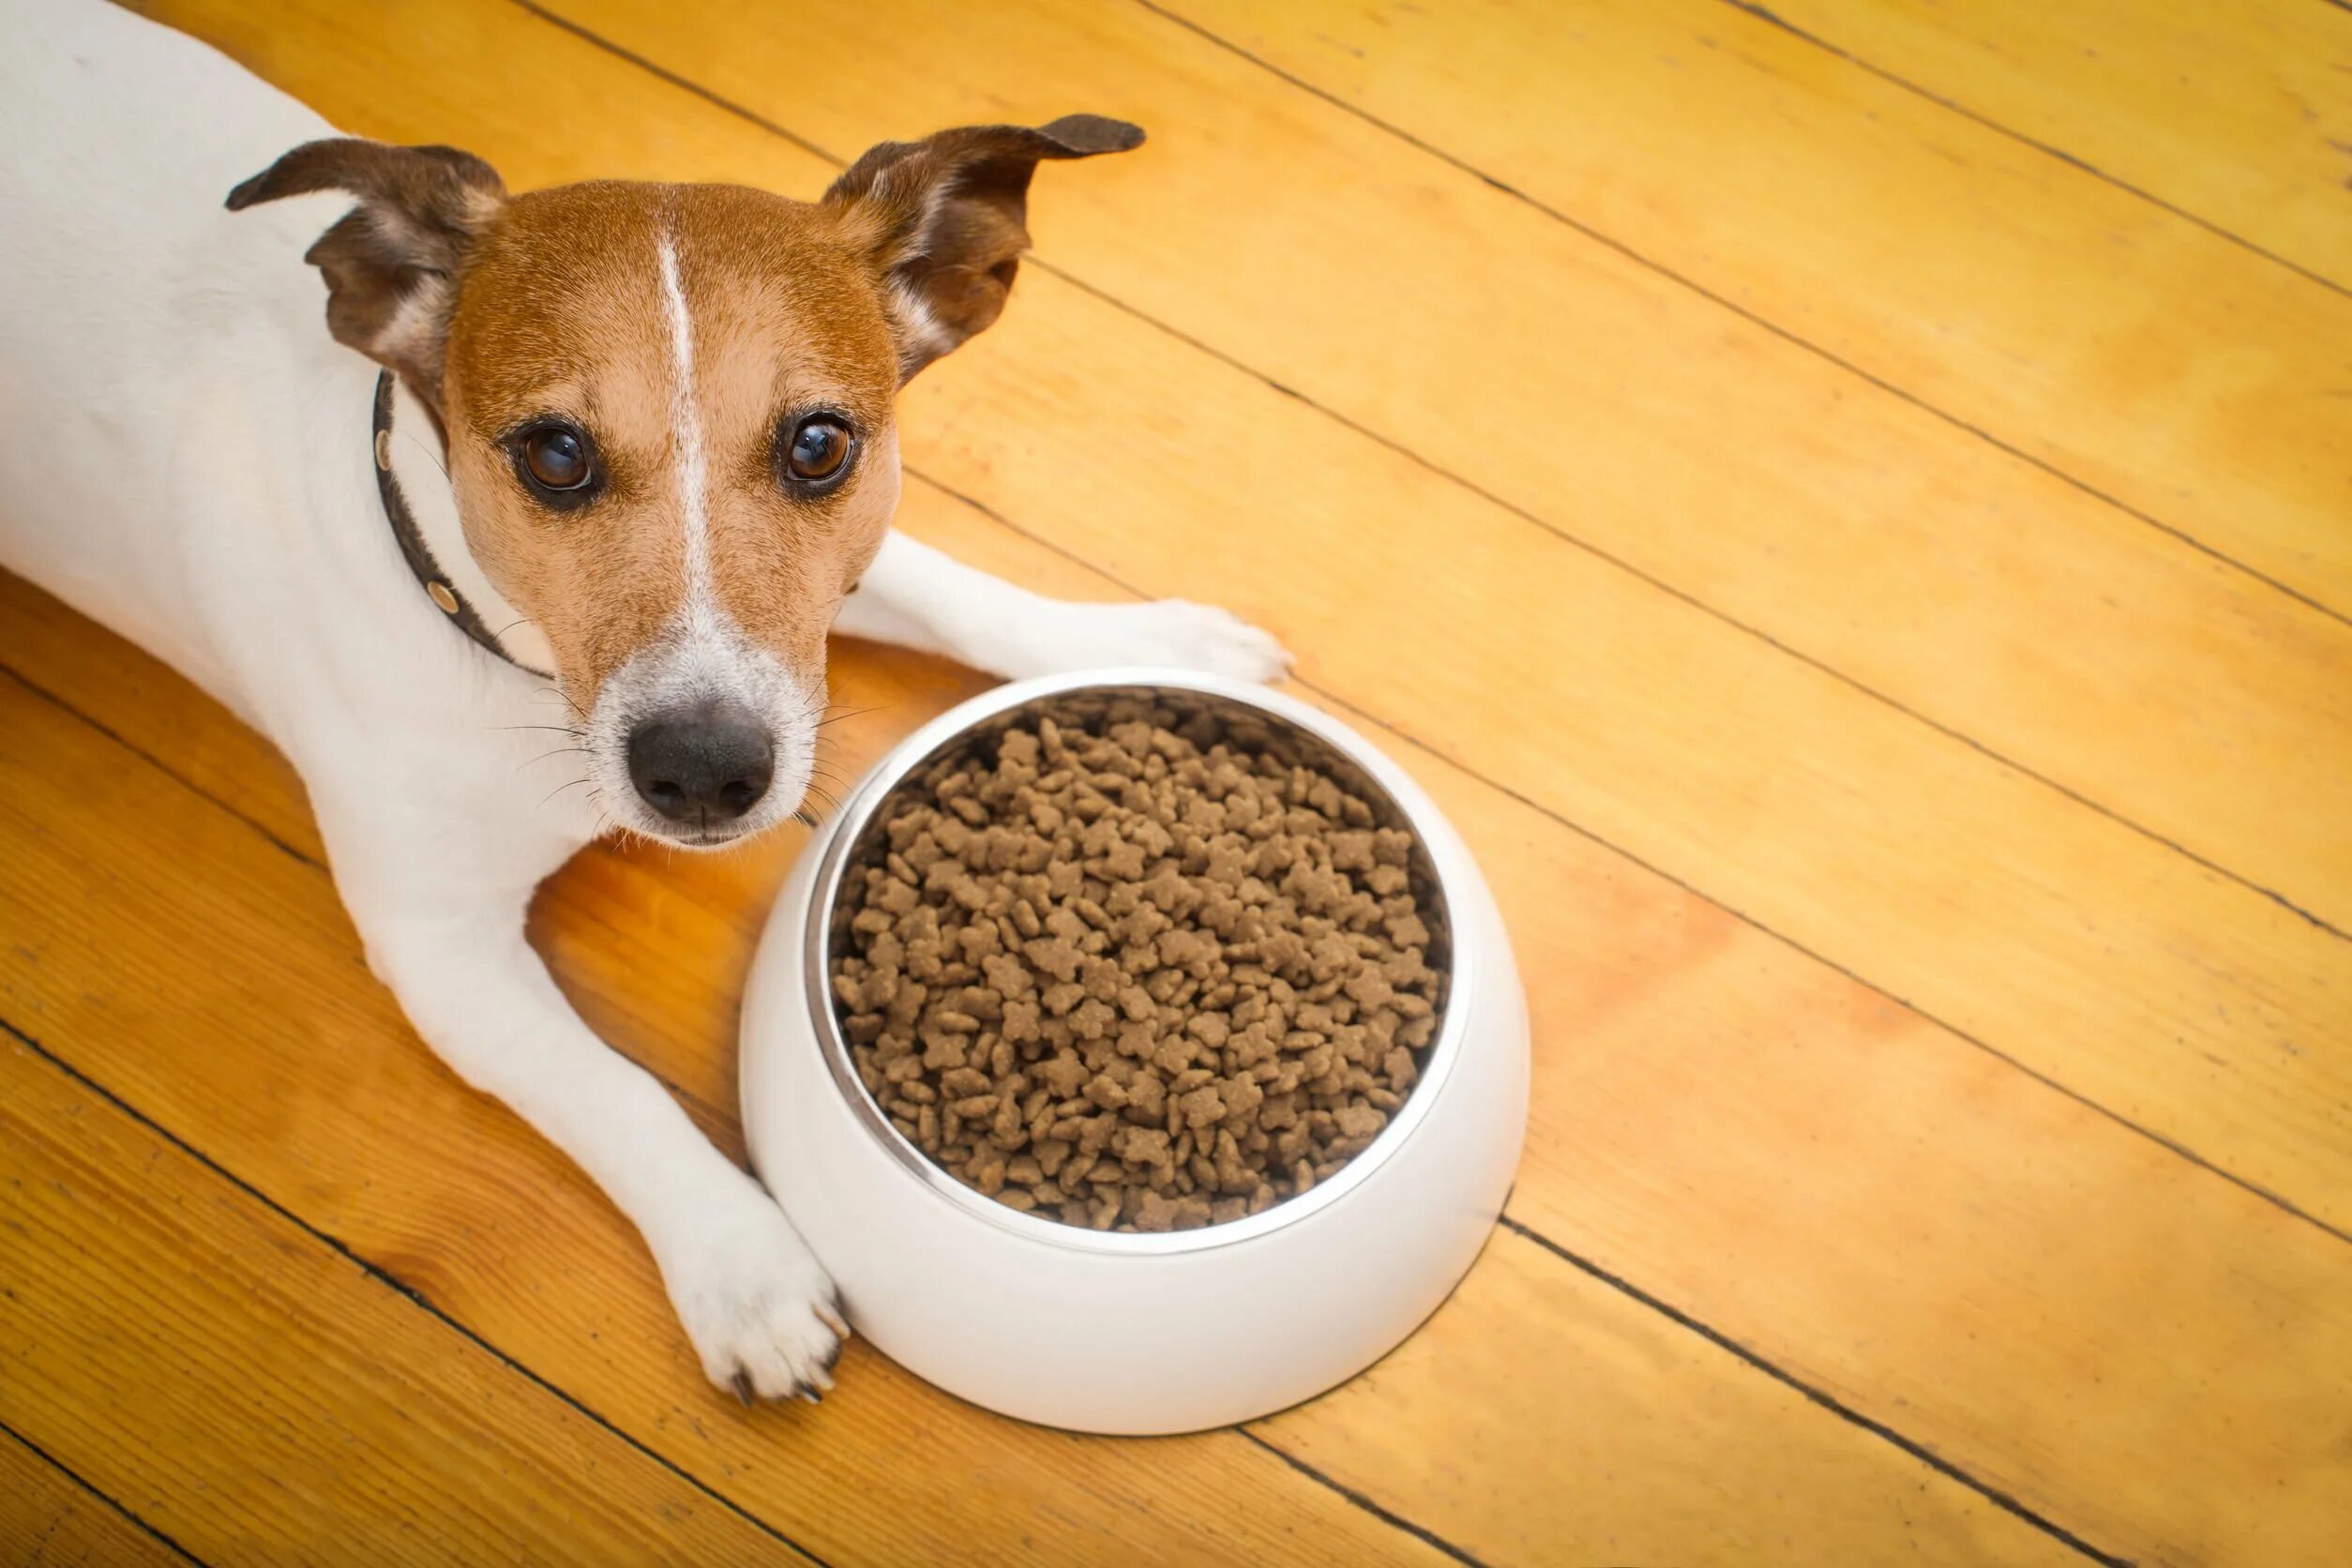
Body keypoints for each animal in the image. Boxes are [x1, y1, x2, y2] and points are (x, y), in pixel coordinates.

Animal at [0, 0, 1289, 1401]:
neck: (498, 653)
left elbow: (943, 586)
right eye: (554, 454)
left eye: (820, 444)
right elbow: (613, 1089)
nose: (707, 770)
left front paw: (1144, 640)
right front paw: (744, 1267)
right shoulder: (437, 945)